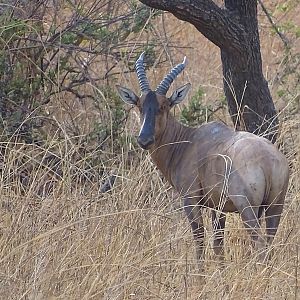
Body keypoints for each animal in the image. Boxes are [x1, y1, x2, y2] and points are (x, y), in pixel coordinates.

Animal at [115, 52, 288, 266]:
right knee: (270, 243)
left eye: (164, 106)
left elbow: (199, 240)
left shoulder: (191, 200)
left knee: (260, 245)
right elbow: (218, 245)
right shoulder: (217, 207)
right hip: (275, 206)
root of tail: (268, 161)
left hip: (247, 208)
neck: (187, 141)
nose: (144, 140)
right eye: (140, 105)